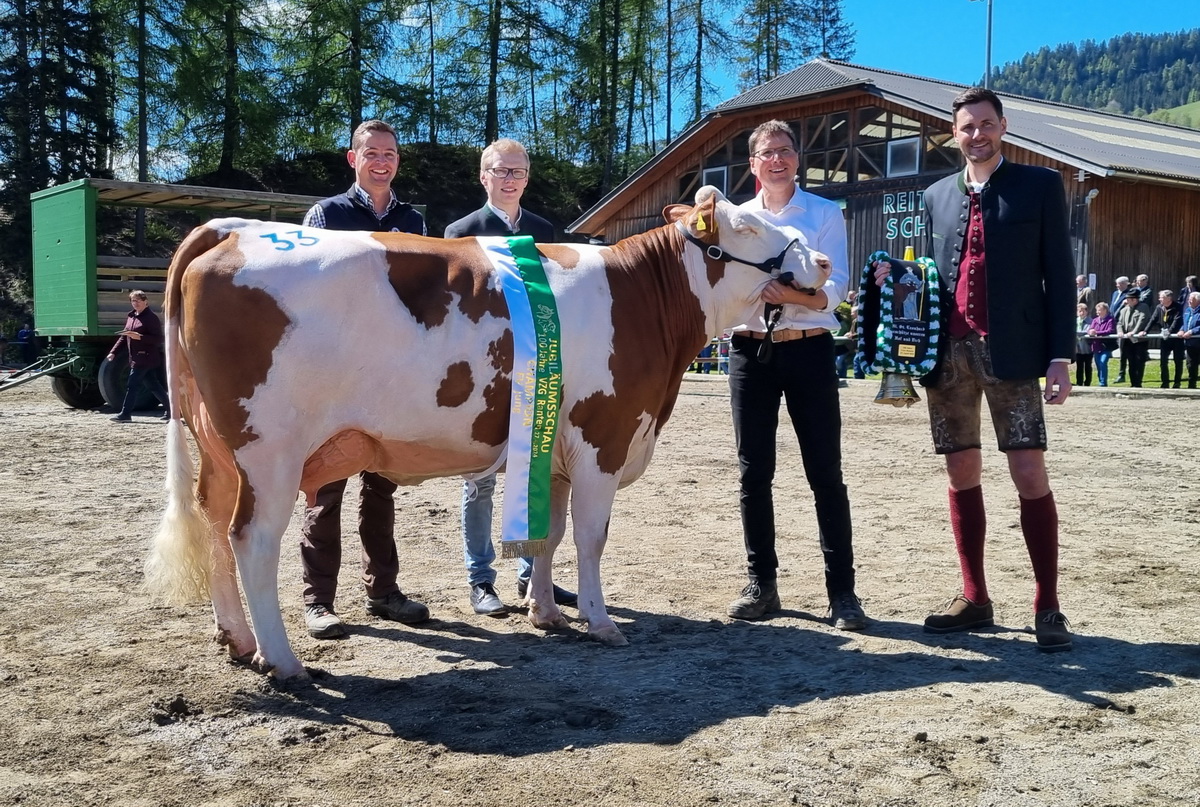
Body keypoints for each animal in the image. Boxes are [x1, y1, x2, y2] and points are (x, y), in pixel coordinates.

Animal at [145, 186, 825, 677]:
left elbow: (548, 537)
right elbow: (590, 540)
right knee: (252, 540)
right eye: (746, 226)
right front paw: (602, 622)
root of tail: (230, 229)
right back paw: (283, 661)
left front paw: (547, 613)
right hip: (271, 449)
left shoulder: (555, 451)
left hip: (219, 448)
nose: (820, 259)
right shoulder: (604, 439)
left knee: (213, 523)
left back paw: (236, 639)